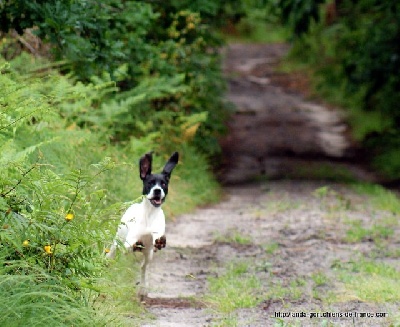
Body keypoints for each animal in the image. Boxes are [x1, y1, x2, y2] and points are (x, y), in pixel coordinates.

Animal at [108, 152, 180, 298]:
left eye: (163, 183)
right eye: (150, 183)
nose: (157, 190)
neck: (150, 214)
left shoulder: (156, 234)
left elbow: (158, 239)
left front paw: (161, 242)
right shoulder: (128, 242)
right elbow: (129, 245)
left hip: (148, 255)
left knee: (143, 268)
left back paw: (142, 288)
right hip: (117, 242)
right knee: (113, 253)